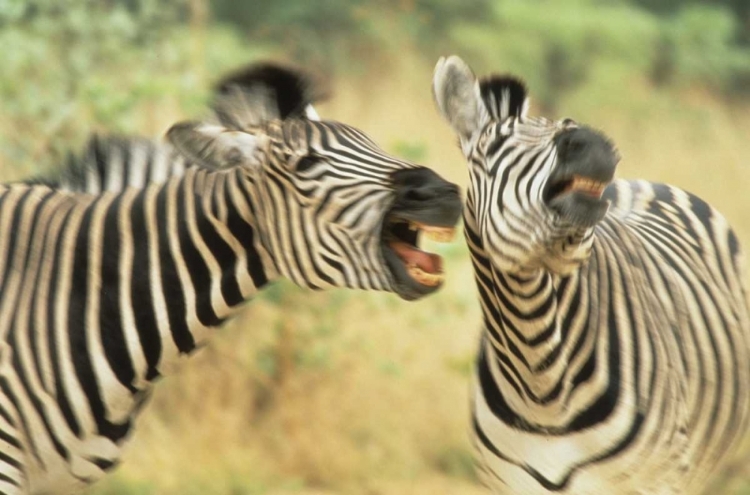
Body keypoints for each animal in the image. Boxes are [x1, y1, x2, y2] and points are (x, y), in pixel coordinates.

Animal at [432, 55, 750, 495]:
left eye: (566, 123)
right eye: (495, 147)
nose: (593, 141)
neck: (541, 381)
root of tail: (645, 184)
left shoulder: (655, 480)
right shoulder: (506, 483)